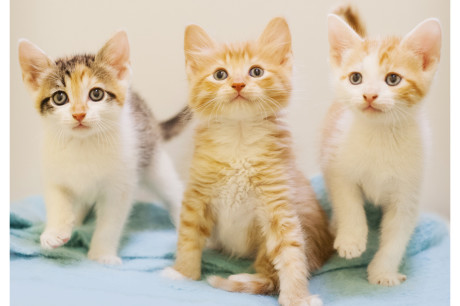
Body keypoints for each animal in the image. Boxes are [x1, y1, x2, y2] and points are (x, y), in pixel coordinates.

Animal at [18, 31, 190, 266]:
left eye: (96, 94)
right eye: (60, 97)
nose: (79, 114)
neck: (83, 144)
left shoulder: (120, 186)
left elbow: (110, 223)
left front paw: (101, 255)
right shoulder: (54, 173)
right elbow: (57, 201)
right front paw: (55, 231)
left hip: (153, 161)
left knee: (172, 191)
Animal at [164, 17, 332, 306]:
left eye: (256, 71)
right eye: (220, 74)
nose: (239, 84)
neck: (239, 140)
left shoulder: (279, 204)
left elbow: (290, 251)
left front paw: (297, 297)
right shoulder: (197, 194)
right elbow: (188, 235)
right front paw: (183, 273)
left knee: (268, 276)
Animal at [320, 5, 442, 286]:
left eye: (393, 79)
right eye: (356, 78)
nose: (369, 95)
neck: (381, 135)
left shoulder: (408, 194)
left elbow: (397, 235)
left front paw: (383, 273)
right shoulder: (338, 166)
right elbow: (348, 204)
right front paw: (351, 240)